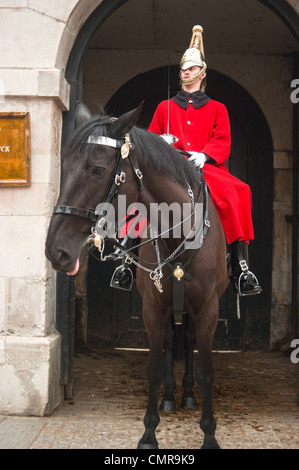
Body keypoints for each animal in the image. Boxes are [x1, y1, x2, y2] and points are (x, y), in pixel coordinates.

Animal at [45, 102, 230, 448]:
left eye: (97, 170)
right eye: (64, 166)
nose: (55, 250)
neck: (178, 236)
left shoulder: (209, 310)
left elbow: (206, 371)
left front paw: (210, 434)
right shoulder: (152, 310)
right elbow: (155, 367)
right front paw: (149, 433)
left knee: (188, 343)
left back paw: (186, 395)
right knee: (173, 344)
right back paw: (171, 397)